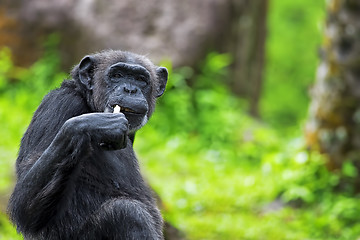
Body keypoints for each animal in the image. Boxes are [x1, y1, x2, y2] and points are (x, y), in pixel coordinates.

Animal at [7, 49, 167, 239]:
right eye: (117, 75)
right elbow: (26, 207)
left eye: (141, 79)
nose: (130, 89)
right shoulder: (59, 106)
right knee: (126, 212)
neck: (88, 102)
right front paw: (93, 125)